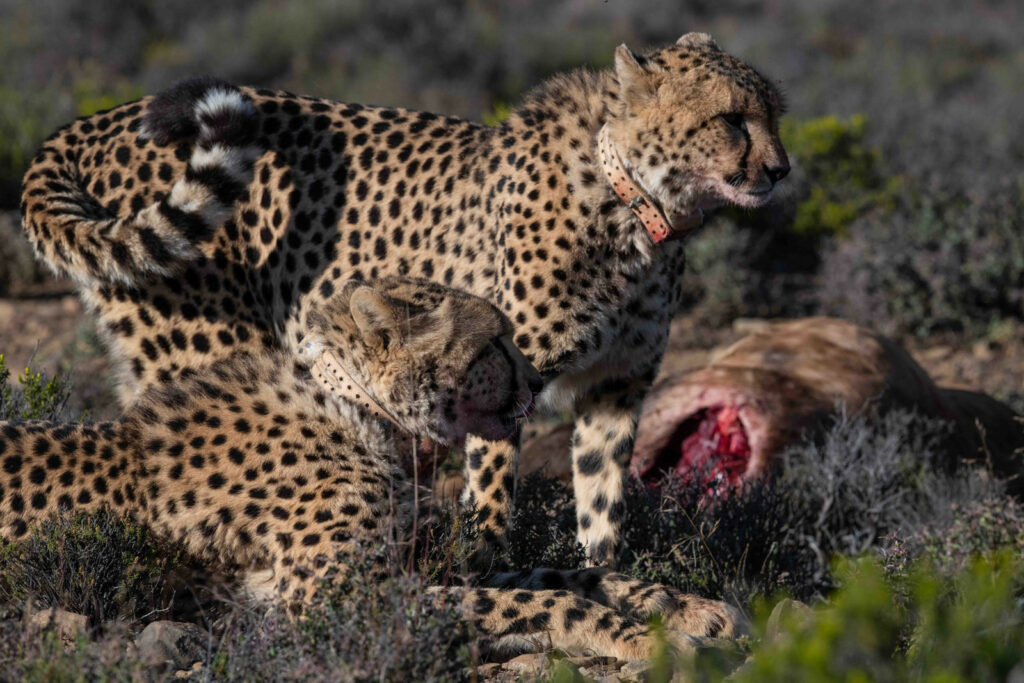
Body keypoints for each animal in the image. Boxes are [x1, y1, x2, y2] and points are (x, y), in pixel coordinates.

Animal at [0, 275, 744, 660]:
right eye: (494, 342)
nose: (537, 382)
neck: (361, 410)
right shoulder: (332, 596)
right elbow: (541, 597)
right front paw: (640, 639)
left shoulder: (423, 558)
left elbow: (573, 572)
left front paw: (686, 608)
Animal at [20, 32, 790, 566]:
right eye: (731, 119)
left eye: (775, 115)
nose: (781, 170)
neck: (639, 205)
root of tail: (95, 119)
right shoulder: (505, 375)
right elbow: (492, 490)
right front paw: (489, 561)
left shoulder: (616, 386)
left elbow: (602, 499)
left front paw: (607, 570)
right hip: (202, 341)